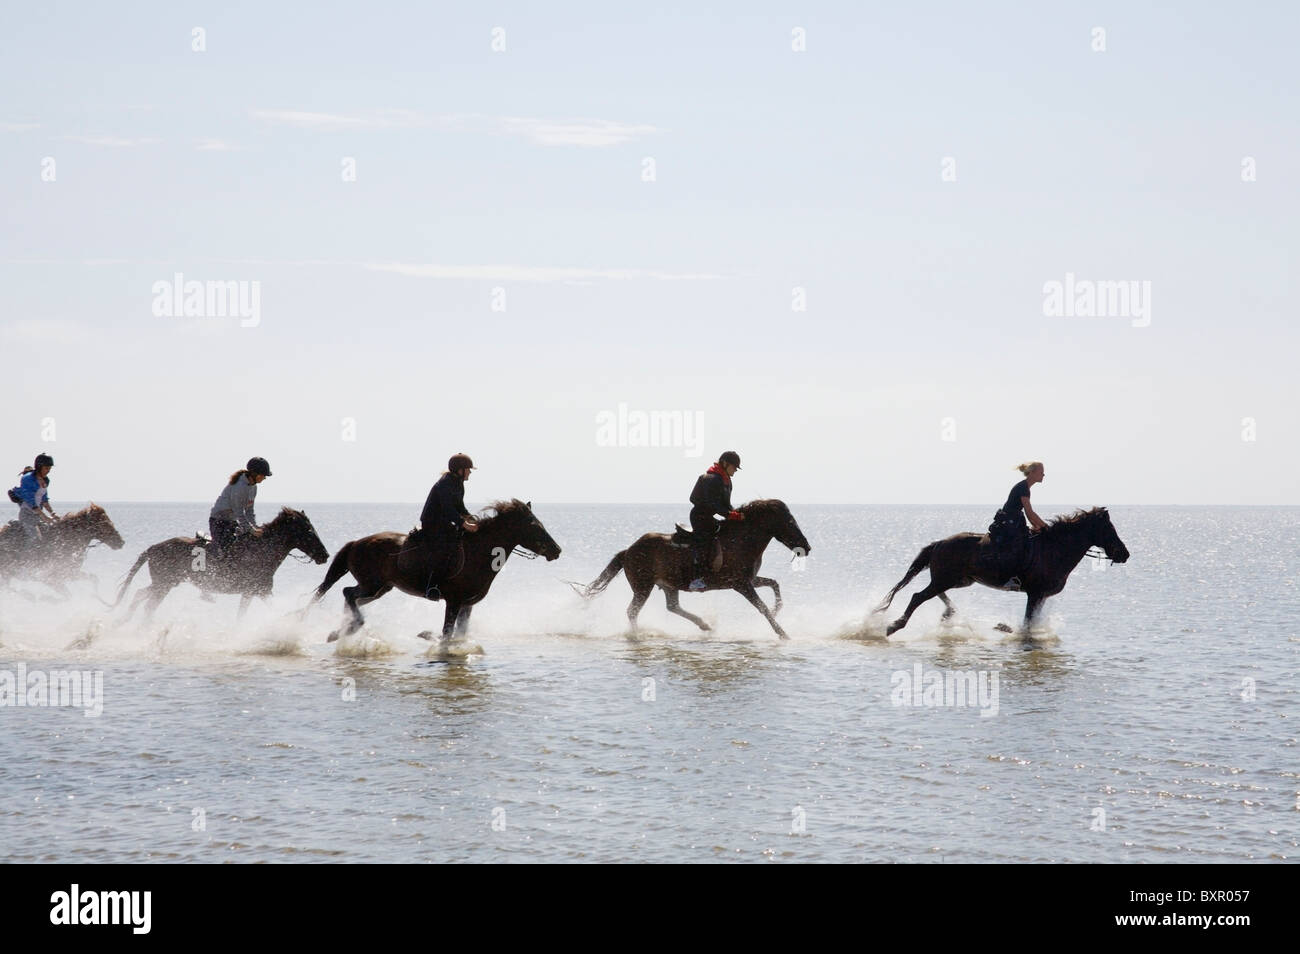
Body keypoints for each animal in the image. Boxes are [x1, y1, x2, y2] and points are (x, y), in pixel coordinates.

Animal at [114, 507, 330, 621]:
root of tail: (153, 548)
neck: (262, 550)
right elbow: (241, 616)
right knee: (148, 606)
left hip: (164, 583)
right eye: (309, 531)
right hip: (164, 585)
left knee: (139, 595)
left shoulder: (262, 592)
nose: (325, 555)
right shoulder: (251, 592)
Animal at [310, 499, 562, 642]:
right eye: (534, 526)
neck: (480, 551)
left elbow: (459, 633)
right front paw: (429, 637)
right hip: (372, 585)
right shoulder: (454, 601)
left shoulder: (467, 605)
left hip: (381, 588)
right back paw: (353, 626)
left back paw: (343, 630)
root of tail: (356, 543)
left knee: (351, 597)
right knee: (348, 593)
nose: (557, 550)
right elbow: (446, 633)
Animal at [569, 499, 811, 639]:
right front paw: (782, 633)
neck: (741, 539)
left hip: (668, 585)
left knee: (673, 607)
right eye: (789, 522)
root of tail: (628, 550)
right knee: (633, 611)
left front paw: (778, 610)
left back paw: (705, 625)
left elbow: (774, 584)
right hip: (643, 587)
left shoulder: (749, 580)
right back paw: (637, 635)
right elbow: (761, 607)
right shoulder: (741, 584)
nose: (806, 547)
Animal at [874, 507, 1130, 636]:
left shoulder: (1041, 596)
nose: (1124, 554)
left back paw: (950, 613)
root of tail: (939, 543)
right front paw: (1006, 628)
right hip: (947, 578)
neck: (1055, 549)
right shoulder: (1035, 594)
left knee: (934, 594)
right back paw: (893, 626)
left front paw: (1004, 627)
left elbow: (1031, 623)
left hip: (959, 579)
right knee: (918, 596)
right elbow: (1027, 623)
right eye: (1109, 528)